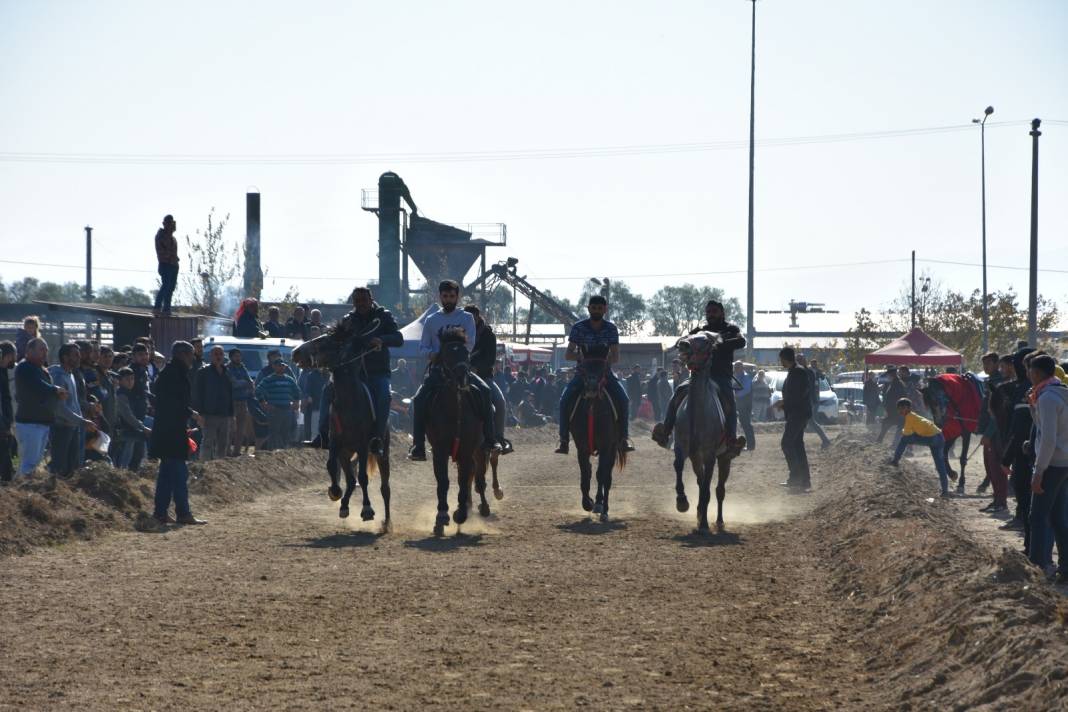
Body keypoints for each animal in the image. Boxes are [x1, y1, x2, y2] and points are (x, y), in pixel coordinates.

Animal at [292, 322, 393, 529]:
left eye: (327, 341)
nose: (295, 352)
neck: (350, 402)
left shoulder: (362, 446)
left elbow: (363, 478)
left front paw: (367, 509)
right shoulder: (335, 443)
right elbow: (331, 466)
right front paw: (335, 492)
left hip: (381, 453)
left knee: (384, 487)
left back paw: (386, 522)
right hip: (346, 454)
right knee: (351, 479)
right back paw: (344, 505)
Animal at [422, 328, 497, 533]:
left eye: (466, 353)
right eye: (447, 354)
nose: (463, 378)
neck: (455, 409)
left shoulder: (466, 450)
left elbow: (464, 479)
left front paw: (460, 514)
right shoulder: (439, 450)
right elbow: (443, 481)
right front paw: (442, 516)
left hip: (479, 449)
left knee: (478, 477)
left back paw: (483, 507)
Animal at [568, 345, 623, 523]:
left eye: (603, 367)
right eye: (584, 366)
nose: (591, 387)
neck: (592, 408)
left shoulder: (607, 447)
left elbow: (603, 476)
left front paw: (602, 508)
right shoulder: (581, 447)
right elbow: (586, 475)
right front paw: (587, 503)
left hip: (612, 449)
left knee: (605, 476)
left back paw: (601, 505)